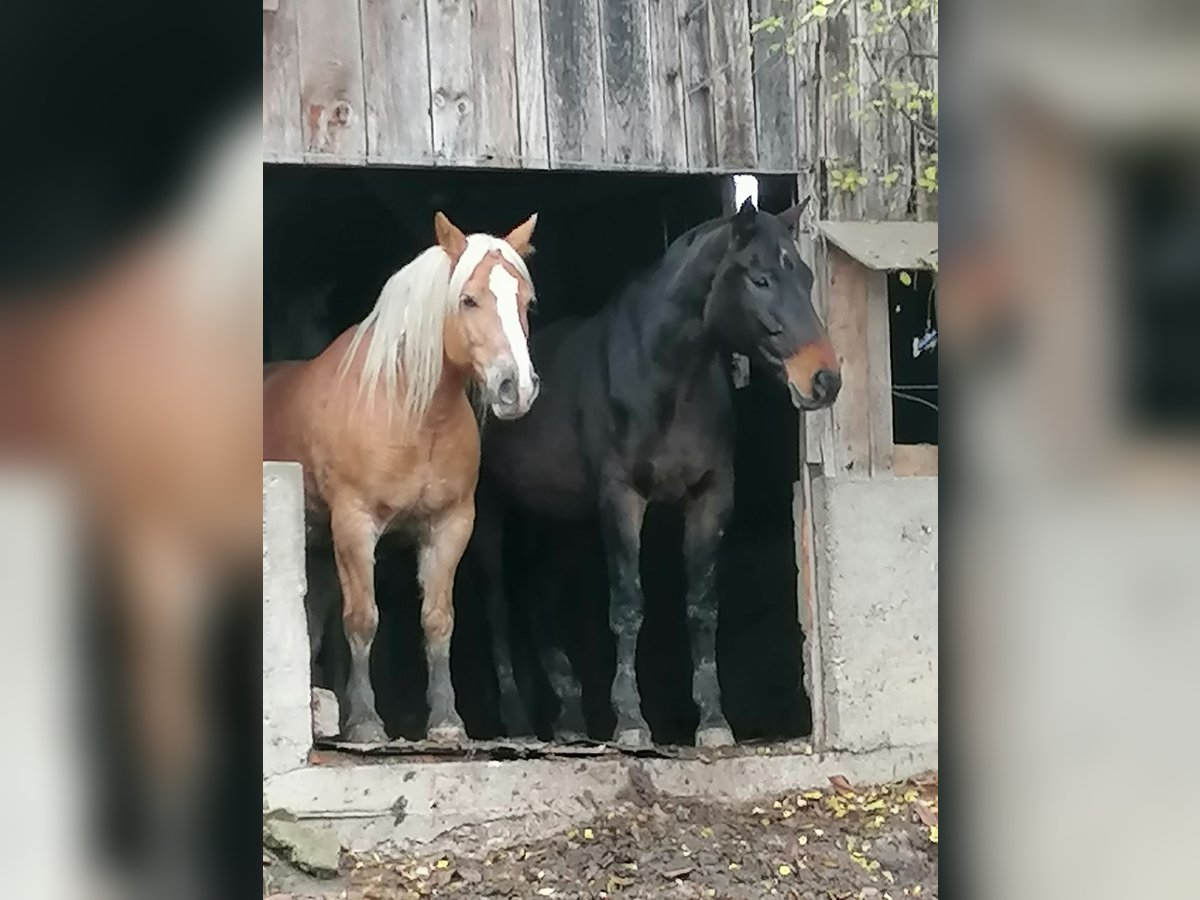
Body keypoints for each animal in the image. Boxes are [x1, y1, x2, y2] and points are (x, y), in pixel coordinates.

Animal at [266, 211, 540, 748]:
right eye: (468, 299)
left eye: (526, 300)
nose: (515, 388)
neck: (412, 415)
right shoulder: (355, 525)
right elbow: (362, 620)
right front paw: (366, 722)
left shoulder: (450, 526)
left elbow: (438, 622)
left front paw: (447, 721)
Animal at [472, 200, 840, 748]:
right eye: (760, 279)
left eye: (807, 276)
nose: (824, 380)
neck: (666, 375)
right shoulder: (622, 498)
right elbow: (628, 605)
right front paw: (630, 720)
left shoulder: (711, 495)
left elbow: (702, 607)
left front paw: (713, 720)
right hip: (491, 509)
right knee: (496, 601)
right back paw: (517, 718)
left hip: (558, 519)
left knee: (536, 595)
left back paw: (569, 714)